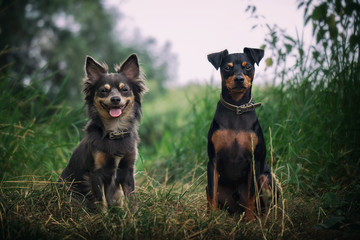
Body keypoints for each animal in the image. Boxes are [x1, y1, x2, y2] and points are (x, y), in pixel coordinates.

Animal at [59, 54, 147, 210]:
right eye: (104, 91)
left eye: (125, 89)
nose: (115, 99)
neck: (115, 130)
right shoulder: (95, 174)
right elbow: (102, 202)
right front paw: (104, 216)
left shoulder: (127, 171)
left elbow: (132, 200)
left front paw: (135, 216)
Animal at [207, 47, 278, 220]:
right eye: (227, 68)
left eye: (248, 67)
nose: (239, 79)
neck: (237, 108)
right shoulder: (212, 161)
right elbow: (211, 194)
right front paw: (210, 220)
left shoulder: (254, 162)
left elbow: (251, 196)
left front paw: (250, 221)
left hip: (265, 178)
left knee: (263, 203)